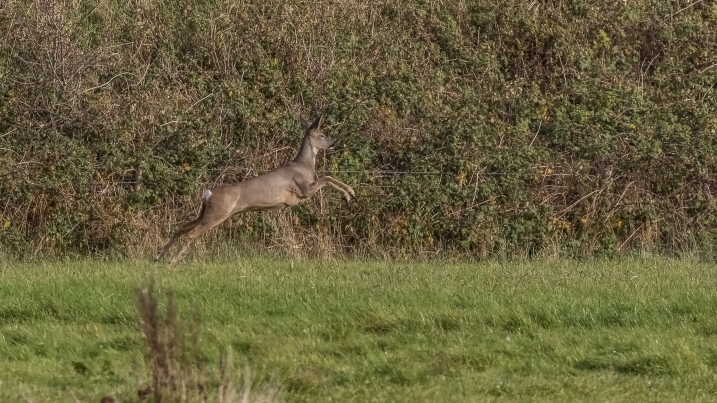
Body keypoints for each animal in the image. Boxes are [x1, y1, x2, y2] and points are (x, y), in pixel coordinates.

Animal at [155, 116, 354, 266]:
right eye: (321, 134)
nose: (334, 144)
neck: (304, 165)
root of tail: (208, 193)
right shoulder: (303, 190)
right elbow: (327, 178)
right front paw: (349, 194)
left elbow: (328, 178)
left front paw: (350, 194)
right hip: (218, 213)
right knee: (191, 233)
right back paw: (172, 261)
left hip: (206, 212)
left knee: (182, 227)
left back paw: (158, 256)